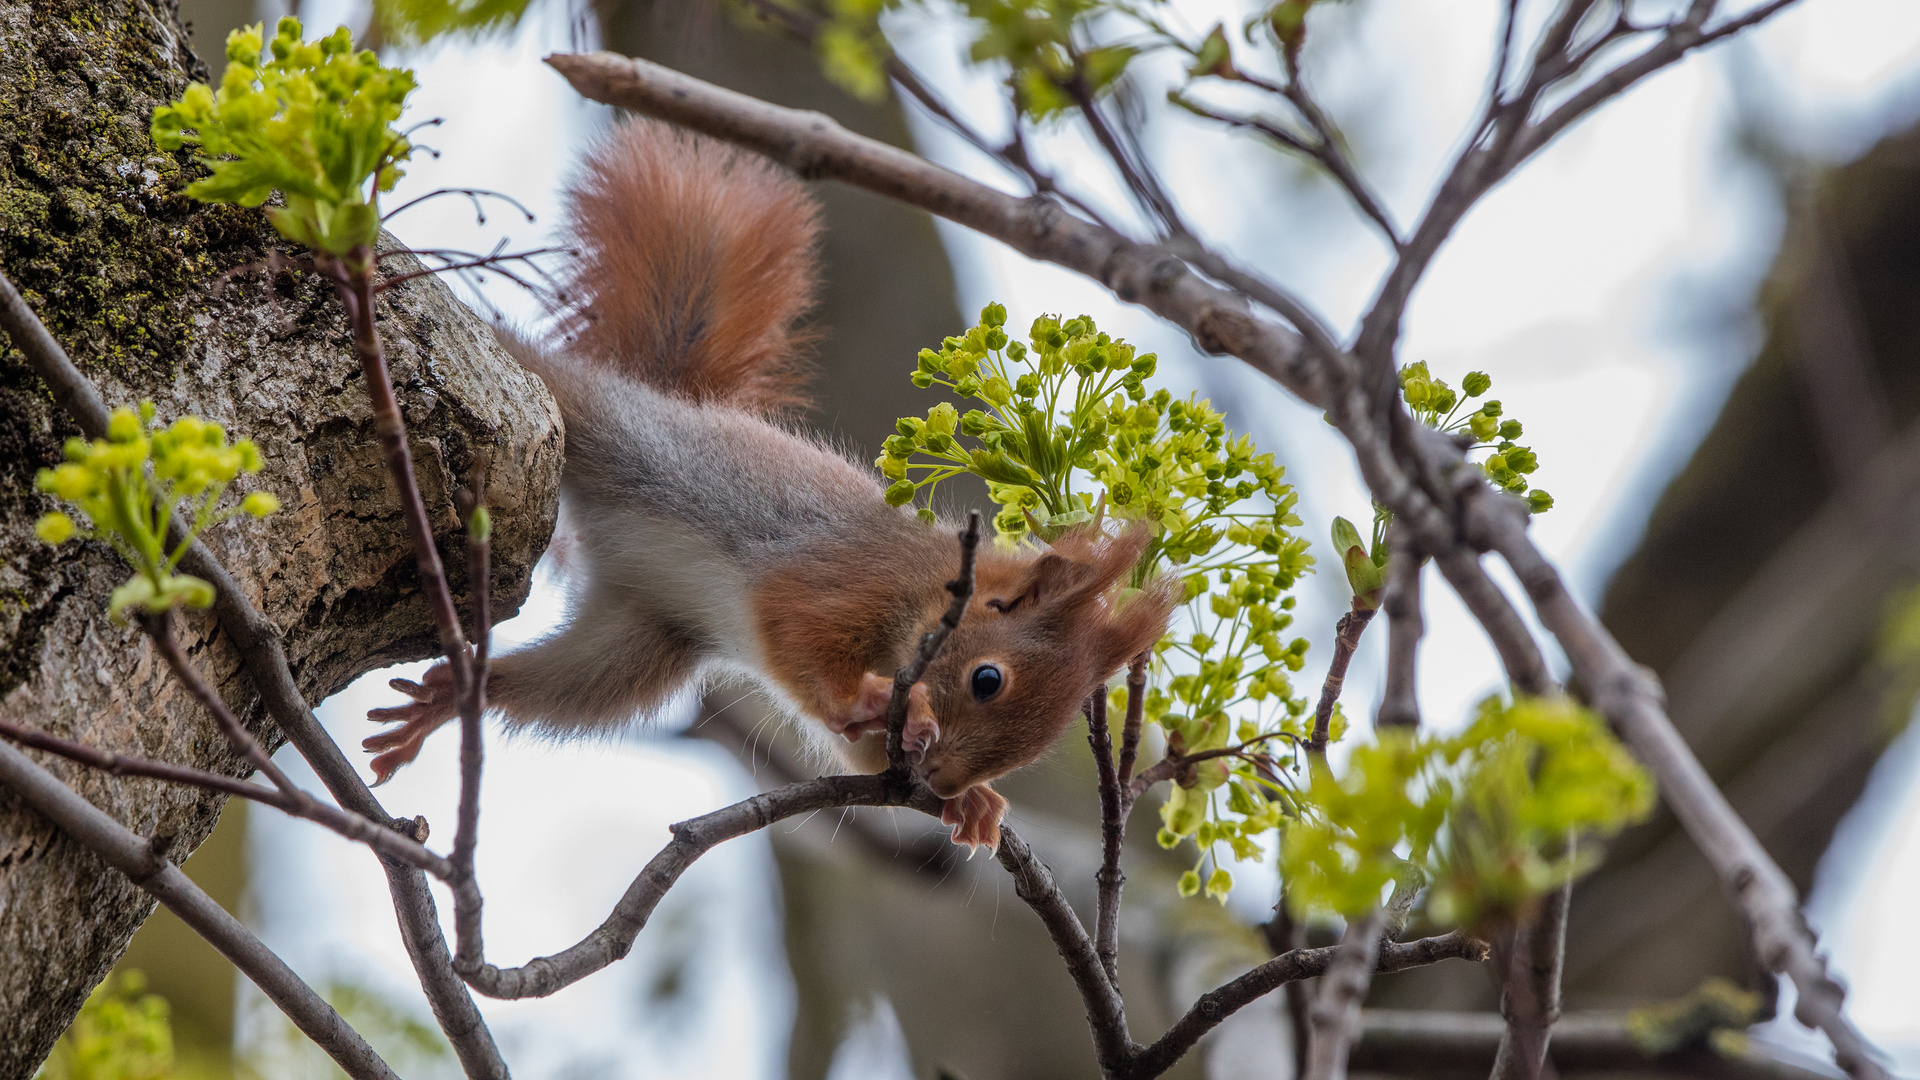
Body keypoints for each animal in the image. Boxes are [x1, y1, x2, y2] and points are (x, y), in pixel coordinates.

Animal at [359, 119, 1167, 849]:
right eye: (987, 680)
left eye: (1038, 744)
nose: (942, 783)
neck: (931, 583)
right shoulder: (840, 579)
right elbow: (797, 633)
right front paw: (874, 699)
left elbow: (860, 752)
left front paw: (972, 803)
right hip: (593, 419)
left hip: (640, 645)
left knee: (558, 683)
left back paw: (449, 697)